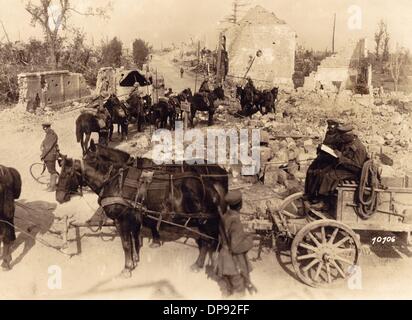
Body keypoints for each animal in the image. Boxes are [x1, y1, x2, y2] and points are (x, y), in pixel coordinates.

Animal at [54, 146, 229, 276]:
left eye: (68, 173)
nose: (59, 197)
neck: (114, 182)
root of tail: (209, 184)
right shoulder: (134, 216)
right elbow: (134, 238)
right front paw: (136, 258)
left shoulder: (122, 220)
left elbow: (126, 243)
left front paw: (127, 267)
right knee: (207, 241)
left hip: (204, 220)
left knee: (208, 241)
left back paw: (201, 264)